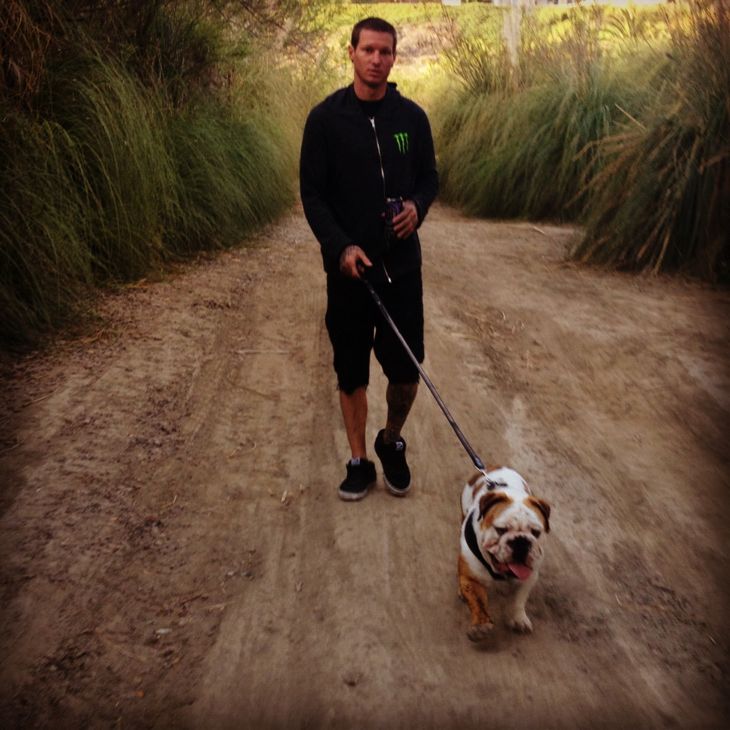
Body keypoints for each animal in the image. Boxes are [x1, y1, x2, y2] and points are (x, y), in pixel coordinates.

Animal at [458, 466, 551, 641]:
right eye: (501, 530)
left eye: (536, 532)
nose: (521, 542)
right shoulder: (471, 578)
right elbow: (478, 602)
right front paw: (481, 624)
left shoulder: (529, 577)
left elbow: (519, 599)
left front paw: (518, 618)